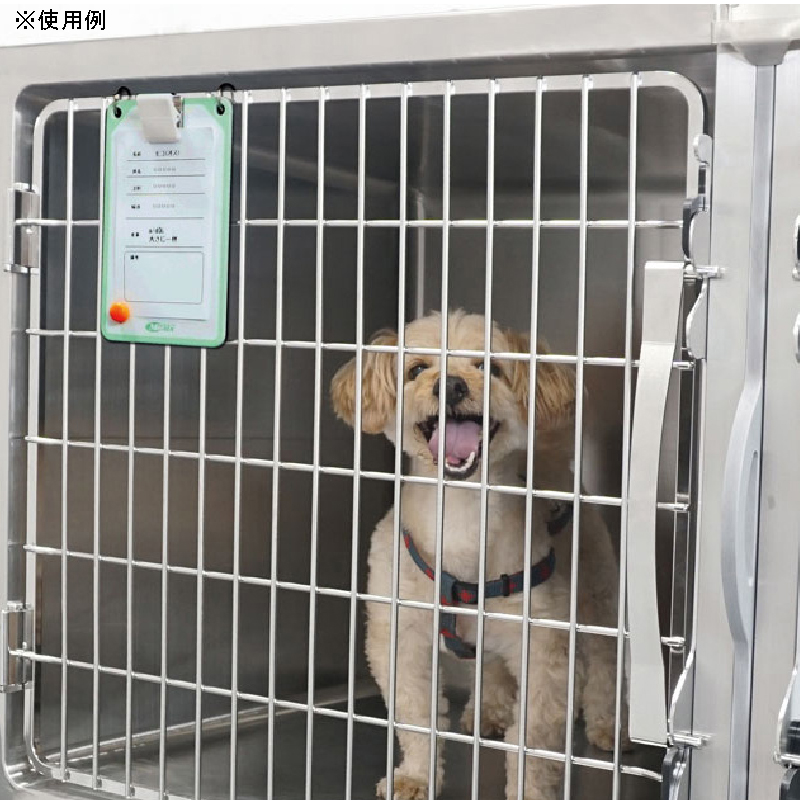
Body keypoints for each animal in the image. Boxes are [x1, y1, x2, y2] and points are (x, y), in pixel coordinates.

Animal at [331, 310, 625, 800]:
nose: (450, 385)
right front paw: (416, 776)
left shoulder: (542, 645)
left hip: (595, 588)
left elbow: (534, 737)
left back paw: (607, 726)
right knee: (490, 663)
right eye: (416, 369)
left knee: (603, 661)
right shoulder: (402, 638)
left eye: (491, 368)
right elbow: (417, 717)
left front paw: (530, 789)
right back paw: (487, 711)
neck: (463, 516)